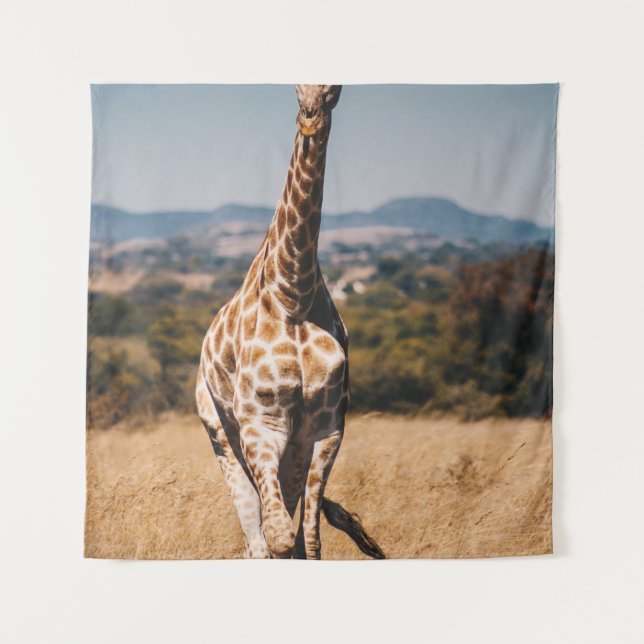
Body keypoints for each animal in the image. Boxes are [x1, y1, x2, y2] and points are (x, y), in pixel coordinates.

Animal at [195, 84, 384, 560]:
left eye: (335, 89)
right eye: (295, 90)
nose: (310, 118)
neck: (293, 295)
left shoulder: (325, 430)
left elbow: (308, 543)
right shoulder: (261, 425)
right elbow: (277, 538)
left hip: (289, 450)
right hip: (220, 433)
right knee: (256, 538)